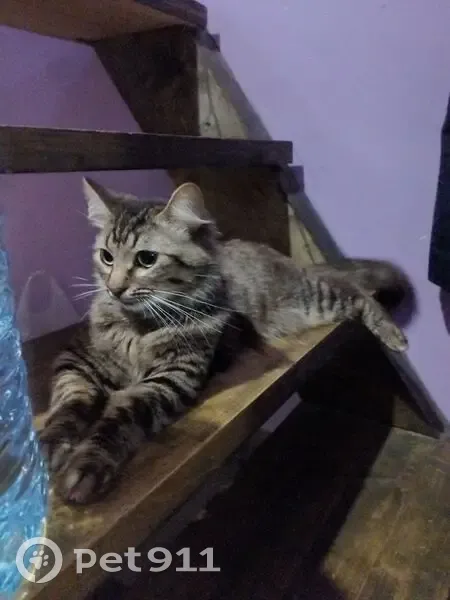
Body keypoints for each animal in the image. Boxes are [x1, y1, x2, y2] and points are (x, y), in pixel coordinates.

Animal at [40, 178, 409, 505]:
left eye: (146, 259)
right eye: (106, 256)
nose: (114, 289)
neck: (139, 328)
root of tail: (284, 258)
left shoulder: (172, 377)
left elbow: (118, 419)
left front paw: (84, 467)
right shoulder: (76, 360)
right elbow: (70, 404)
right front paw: (48, 449)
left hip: (316, 301)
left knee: (357, 293)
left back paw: (394, 335)